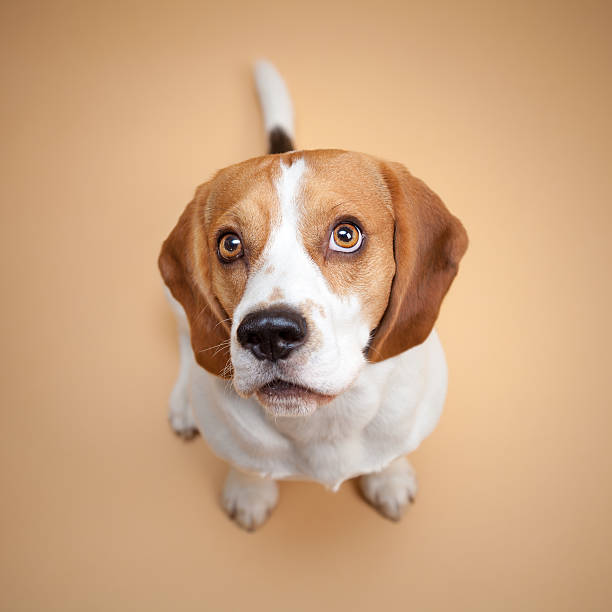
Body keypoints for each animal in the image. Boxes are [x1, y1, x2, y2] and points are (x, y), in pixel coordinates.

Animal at [159, 62, 468, 532]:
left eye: (346, 235)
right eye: (229, 244)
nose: (268, 334)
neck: (325, 422)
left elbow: (391, 455)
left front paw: (389, 478)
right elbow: (248, 466)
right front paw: (250, 493)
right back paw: (183, 405)